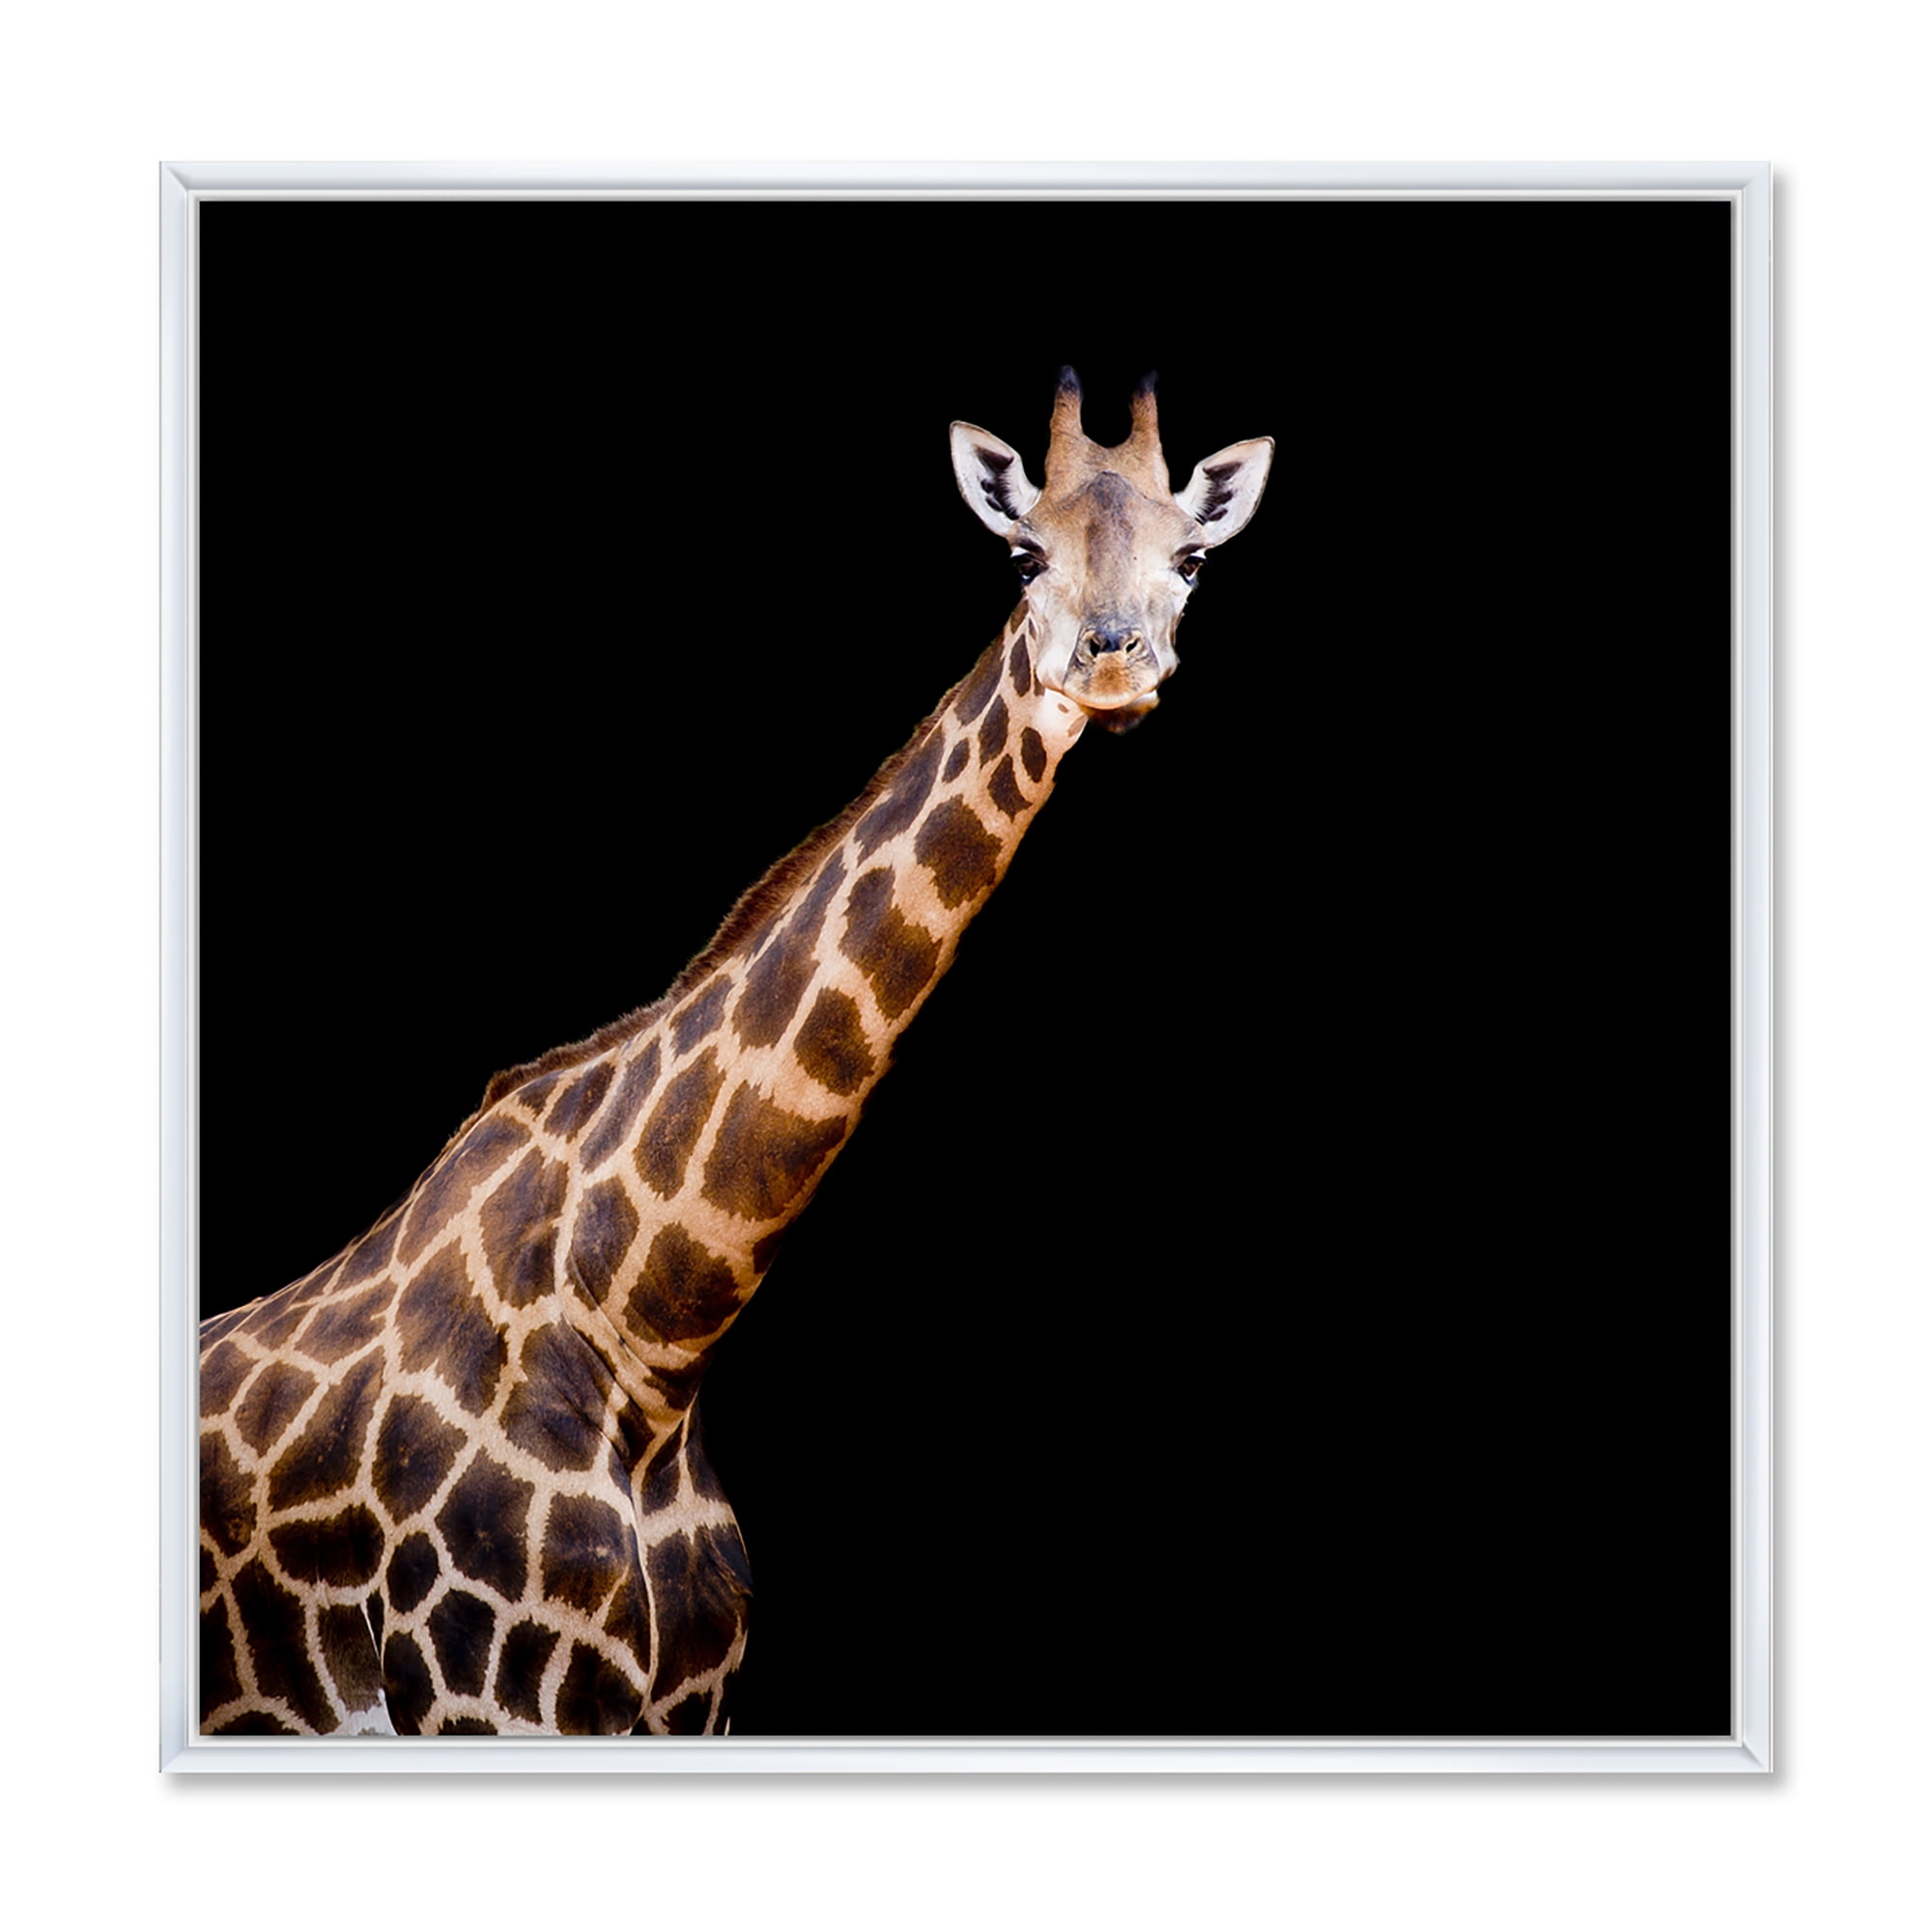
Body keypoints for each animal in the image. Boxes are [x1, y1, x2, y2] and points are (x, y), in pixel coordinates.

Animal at [198, 370, 1273, 1737]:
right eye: (1022, 554)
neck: (648, 1336)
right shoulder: (478, 1694)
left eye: (1191, 557)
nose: (1114, 659)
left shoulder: (690, 1705)